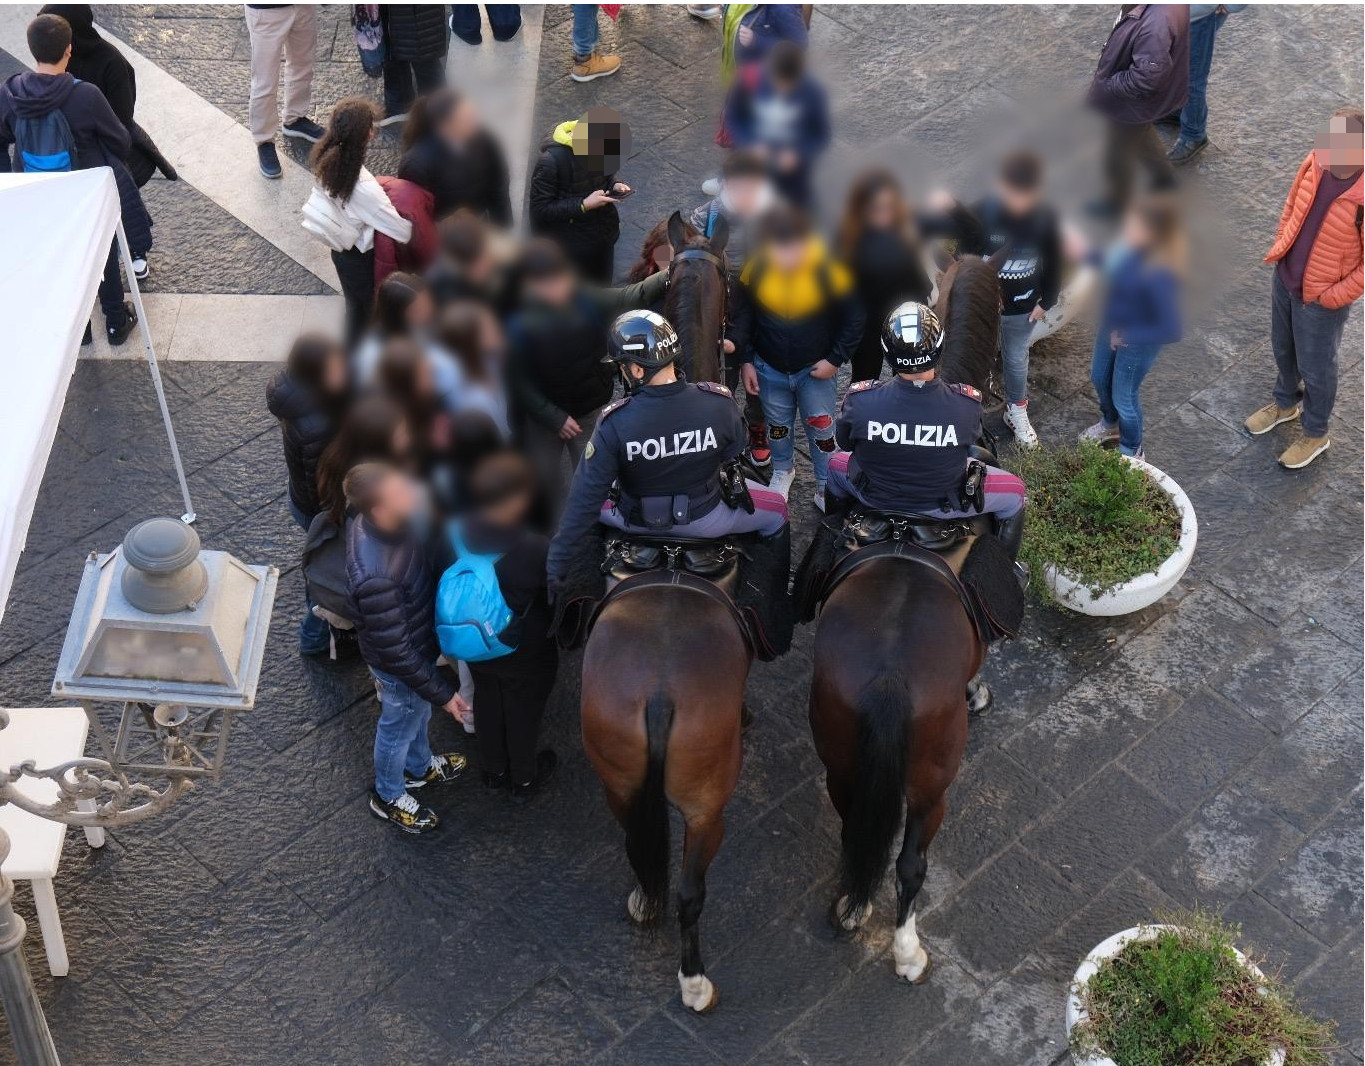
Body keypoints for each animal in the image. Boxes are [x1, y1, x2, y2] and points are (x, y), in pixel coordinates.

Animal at [808, 251, 1004, 982]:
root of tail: (892, 679)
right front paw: (979, 689)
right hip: (932, 784)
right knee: (911, 862)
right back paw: (906, 949)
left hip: (841, 760)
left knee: (853, 832)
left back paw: (853, 908)